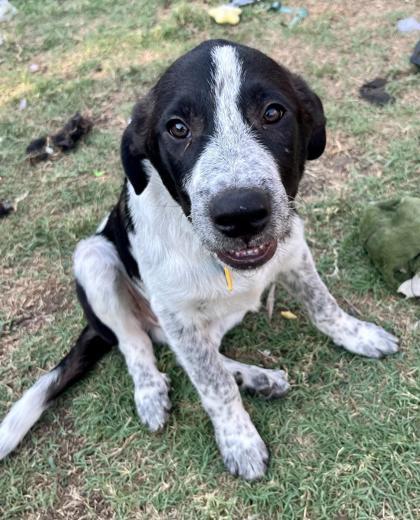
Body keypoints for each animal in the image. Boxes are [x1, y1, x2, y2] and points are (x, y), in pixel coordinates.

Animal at [0, 39, 398, 480]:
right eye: (177, 128)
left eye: (272, 113)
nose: (241, 213)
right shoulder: (176, 312)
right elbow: (212, 384)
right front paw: (239, 440)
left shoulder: (293, 248)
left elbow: (323, 305)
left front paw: (358, 335)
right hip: (94, 258)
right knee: (137, 342)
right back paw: (151, 392)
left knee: (191, 349)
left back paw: (255, 376)